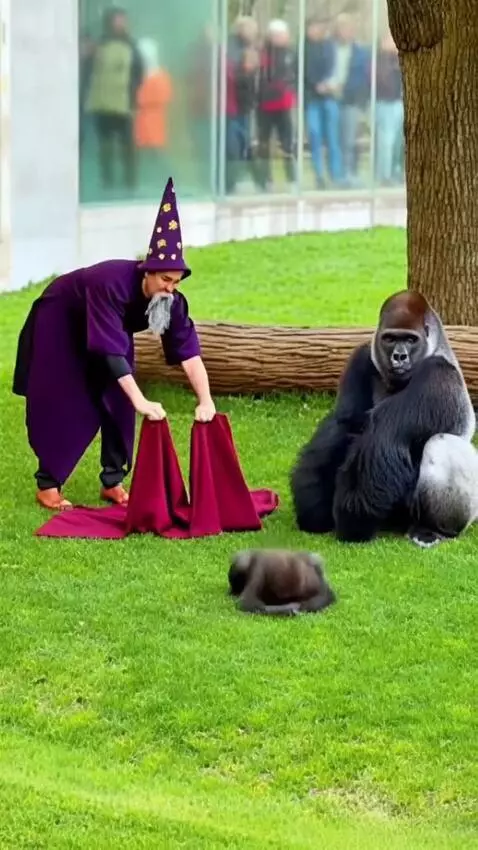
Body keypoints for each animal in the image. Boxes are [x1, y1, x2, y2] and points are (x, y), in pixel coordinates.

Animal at [290, 290, 476, 547]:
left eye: (411, 339)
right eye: (390, 338)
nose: (399, 356)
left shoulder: (437, 375)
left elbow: (385, 435)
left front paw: (354, 521)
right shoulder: (361, 356)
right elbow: (343, 424)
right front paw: (313, 506)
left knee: (442, 443)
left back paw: (432, 529)